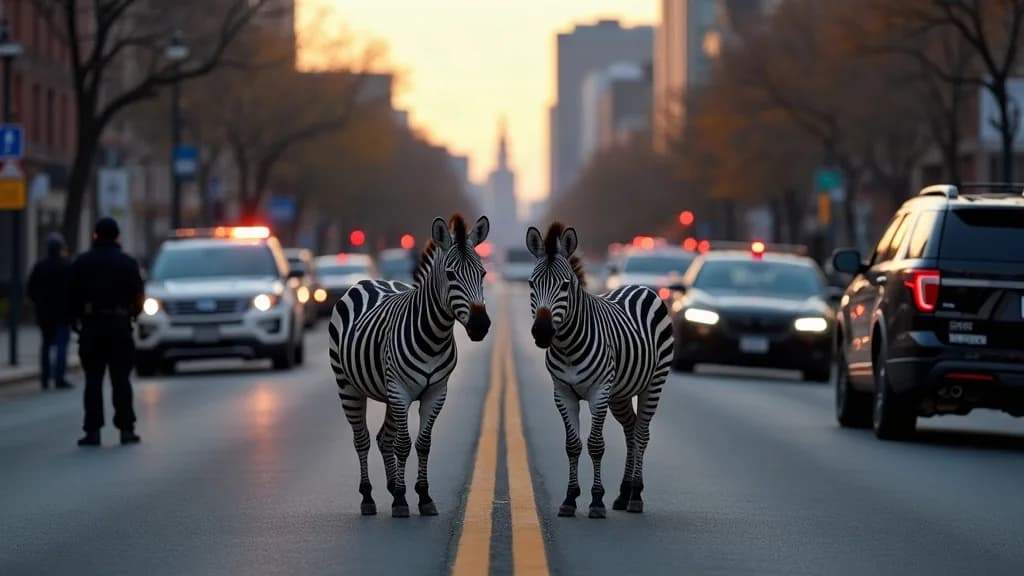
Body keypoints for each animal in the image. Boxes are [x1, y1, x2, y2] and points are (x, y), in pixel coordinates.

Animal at [329, 214, 491, 517]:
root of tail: (368, 280)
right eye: (450, 275)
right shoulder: (401, 390)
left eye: (484, 274)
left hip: (388, 393)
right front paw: (403, 501)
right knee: (363, 439)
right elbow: (403, 444)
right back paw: (368, 497)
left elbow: (423, 444)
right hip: (349, 386)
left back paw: (393, 487)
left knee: (383, 438)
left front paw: (422, 496)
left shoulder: (436, 392)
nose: (480, 325)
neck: (434, 336)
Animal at [525, 222, 673, 518]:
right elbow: (572, 446)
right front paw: (570, 498)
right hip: (620, 394)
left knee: (641, 434)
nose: (542, 332)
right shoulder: (563, 393)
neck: (568, 345)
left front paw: (596, 500)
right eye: (532, 283)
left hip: (653, 384)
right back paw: (624, 493)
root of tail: (639, 286)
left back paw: (636, 495)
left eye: (565, 285)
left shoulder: (598, 393)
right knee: (630, 432)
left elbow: (596, 445)